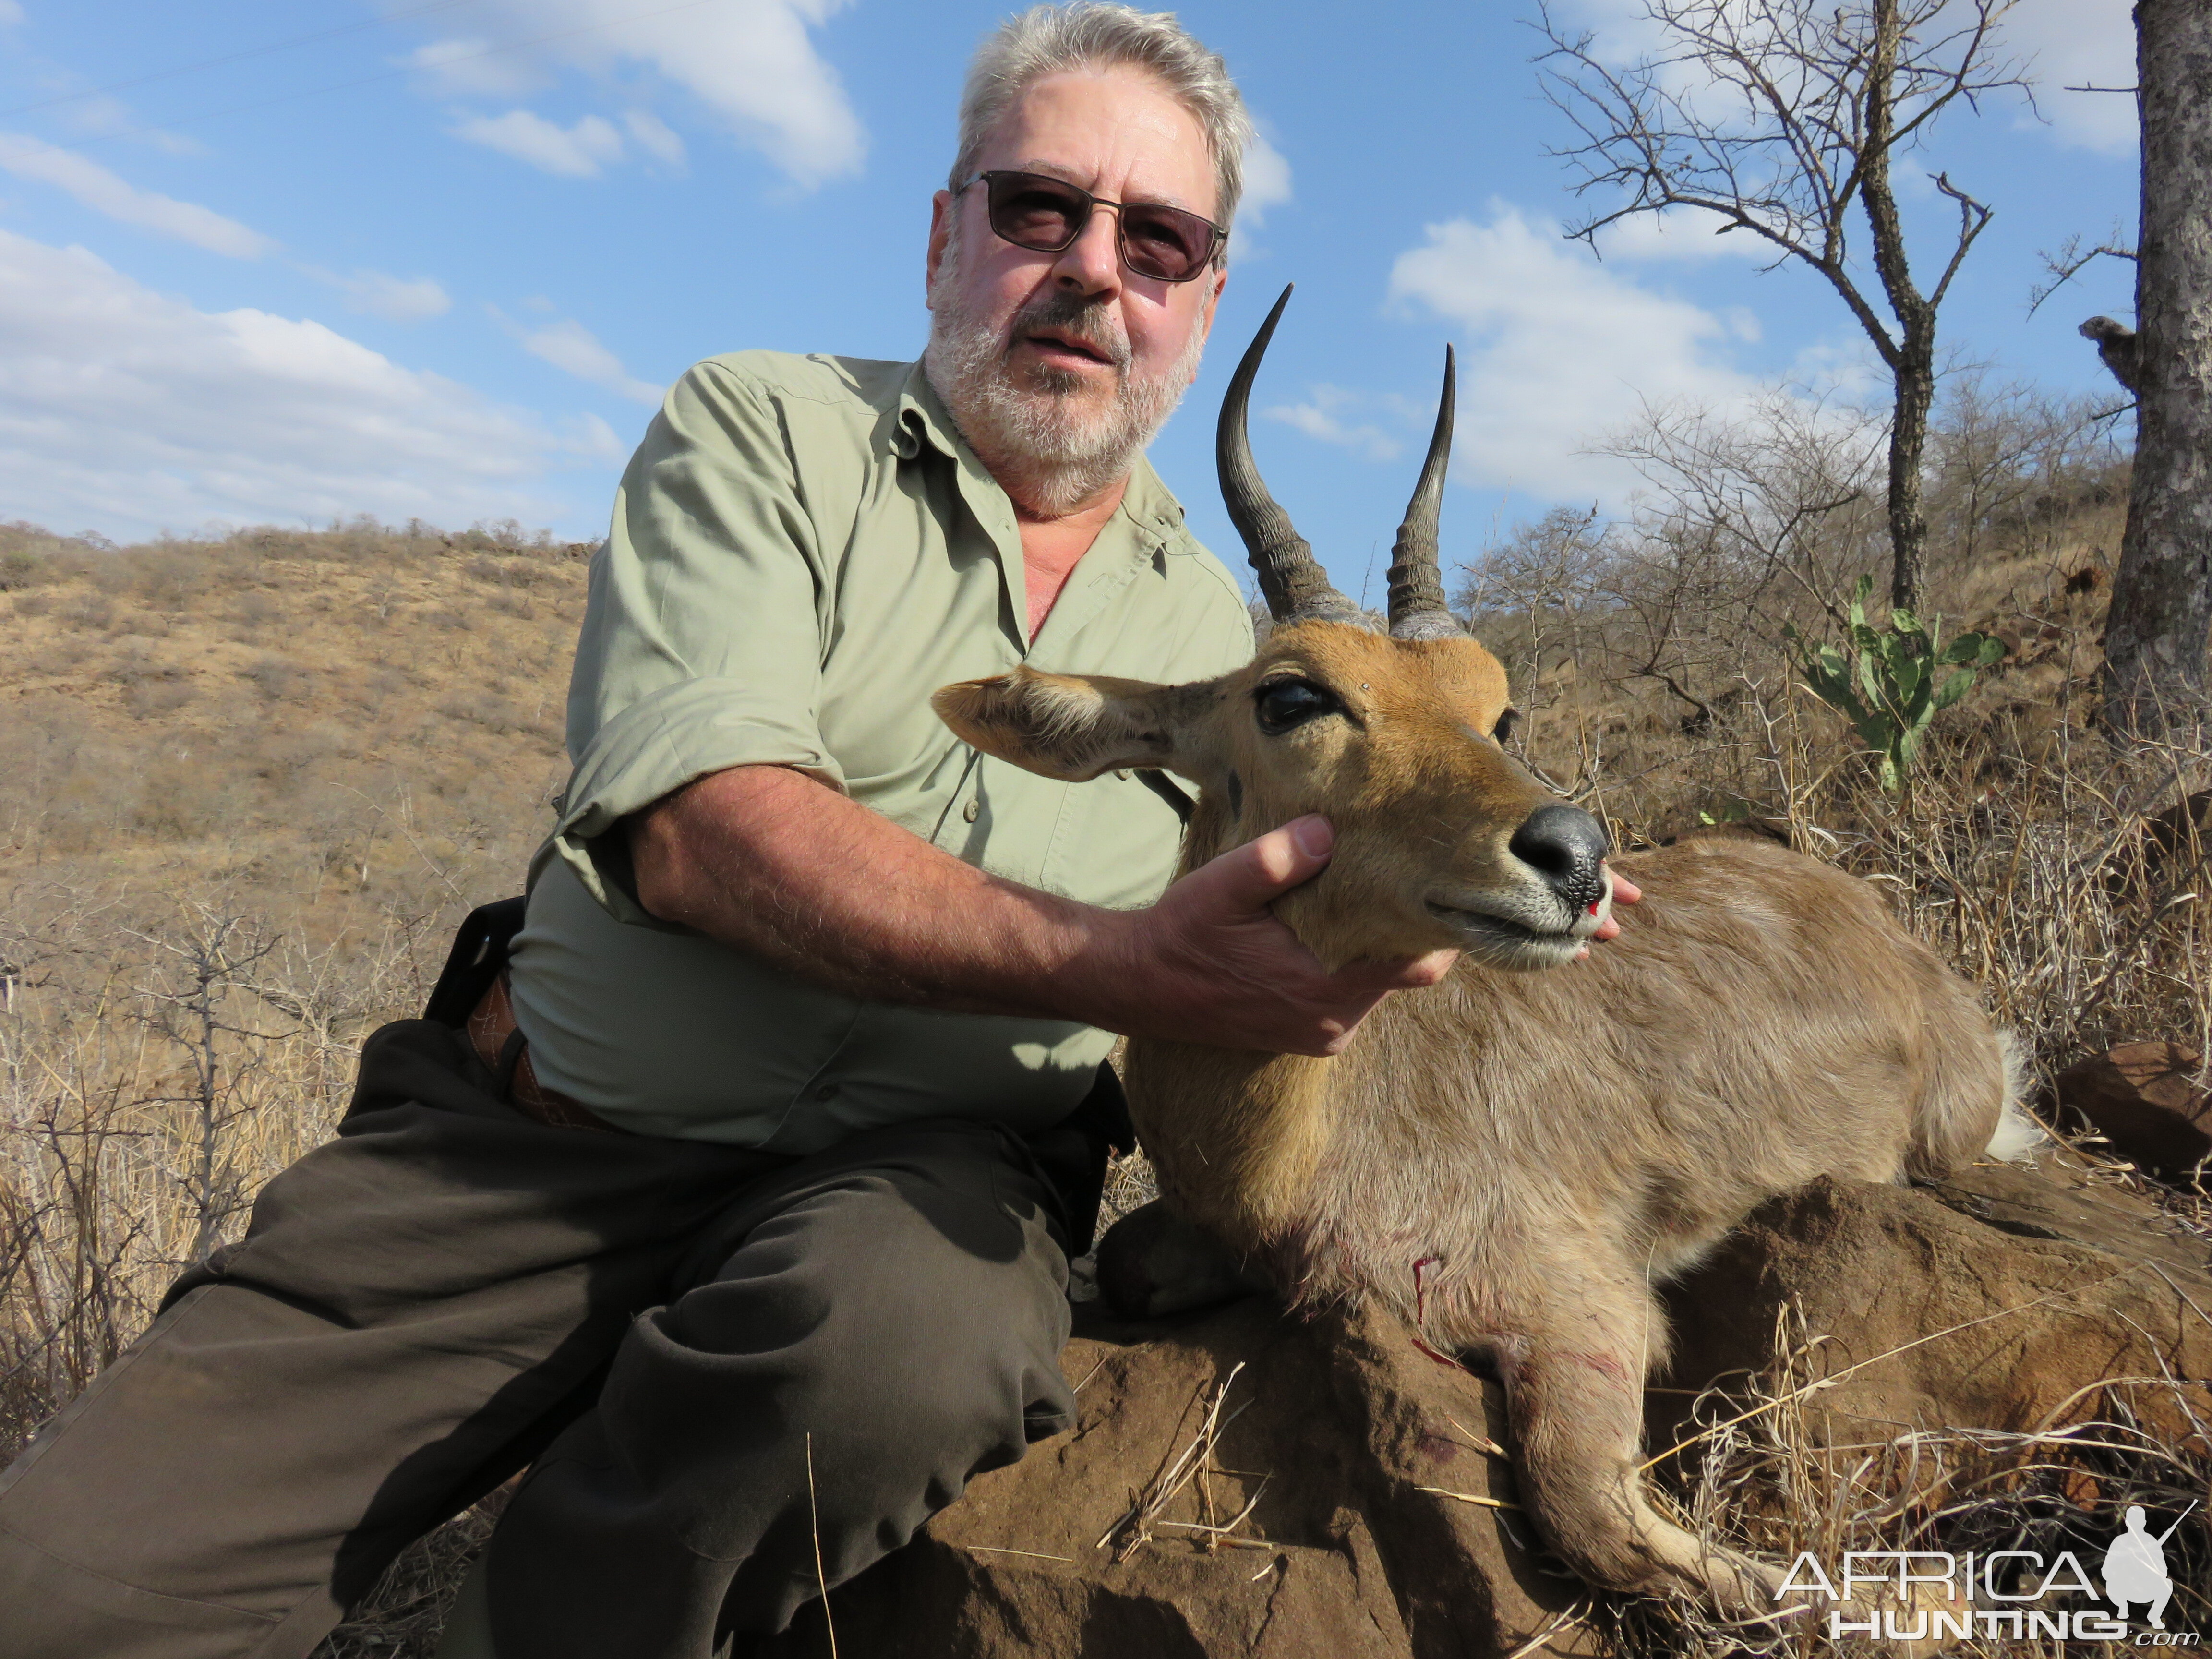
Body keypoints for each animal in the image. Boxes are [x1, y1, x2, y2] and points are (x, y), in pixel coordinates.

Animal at [925, 289, 2026, 1628]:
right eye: (1293, 696)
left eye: (1498, 707)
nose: (1574, 857)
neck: (1290, 1159)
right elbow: (1130, 1263)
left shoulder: (1585, 1309)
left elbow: (1599, 1521)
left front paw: (1910, 1603)